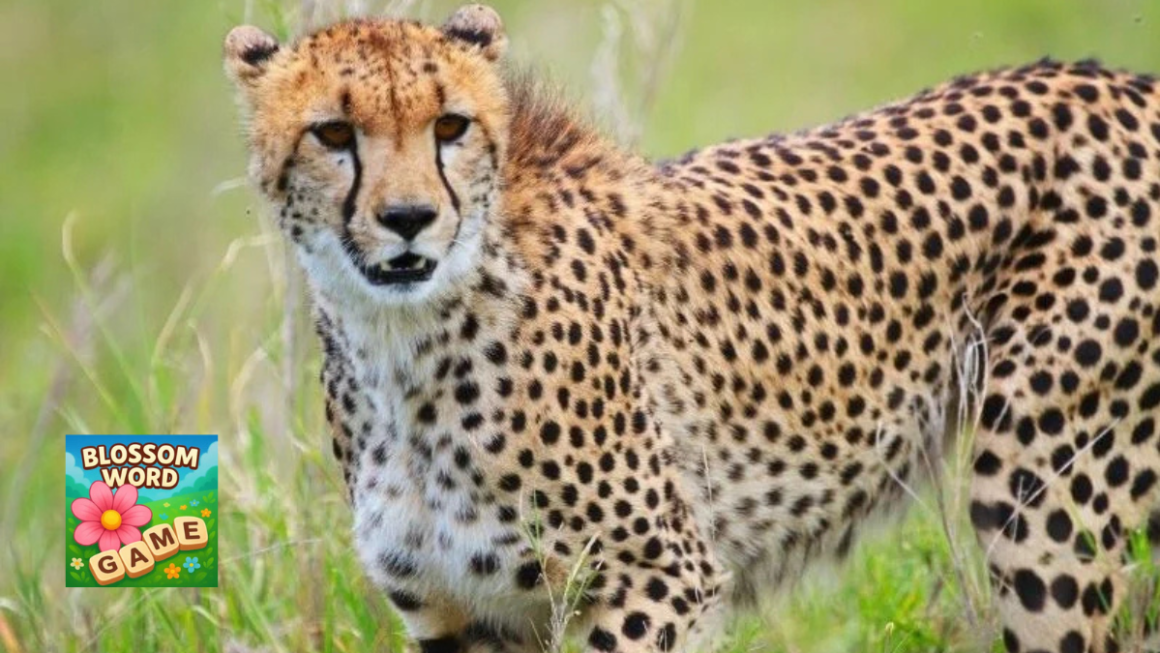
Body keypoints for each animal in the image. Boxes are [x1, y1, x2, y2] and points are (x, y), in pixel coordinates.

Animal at [223, 5, 1160, 653]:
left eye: (450, 125)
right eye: (333, 132)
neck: (400, 343)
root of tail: (1117, 81)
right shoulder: (463, 614)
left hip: (1046, 501)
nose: (410, 219)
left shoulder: (661, 575)